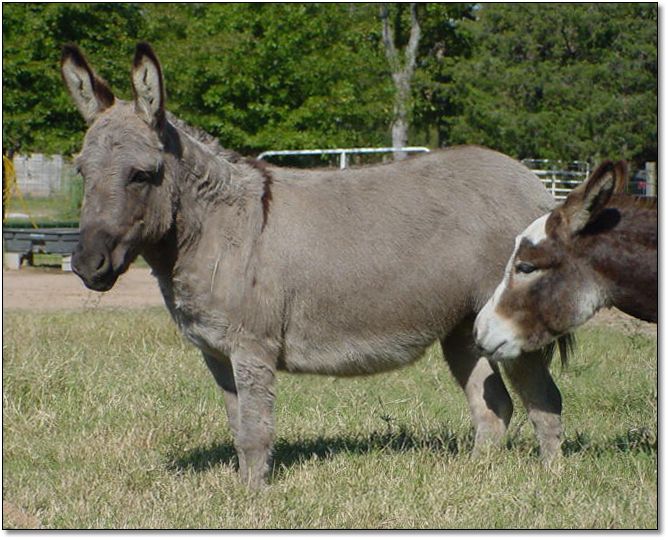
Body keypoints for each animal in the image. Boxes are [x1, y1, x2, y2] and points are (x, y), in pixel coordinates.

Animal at [62, 42, 566, 488]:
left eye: (141, 175)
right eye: (82, 172)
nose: (86, 265)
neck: (215, 228)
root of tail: (531, 180)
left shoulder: (252, 347)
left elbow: (255, 431)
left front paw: (252, 500)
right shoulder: (217, 352)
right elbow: (237, 426)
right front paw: (239, 490)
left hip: (515, 324)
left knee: (544, 400)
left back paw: (548, 483)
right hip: (463, 327)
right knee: (493, 404)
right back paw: (477, 477)